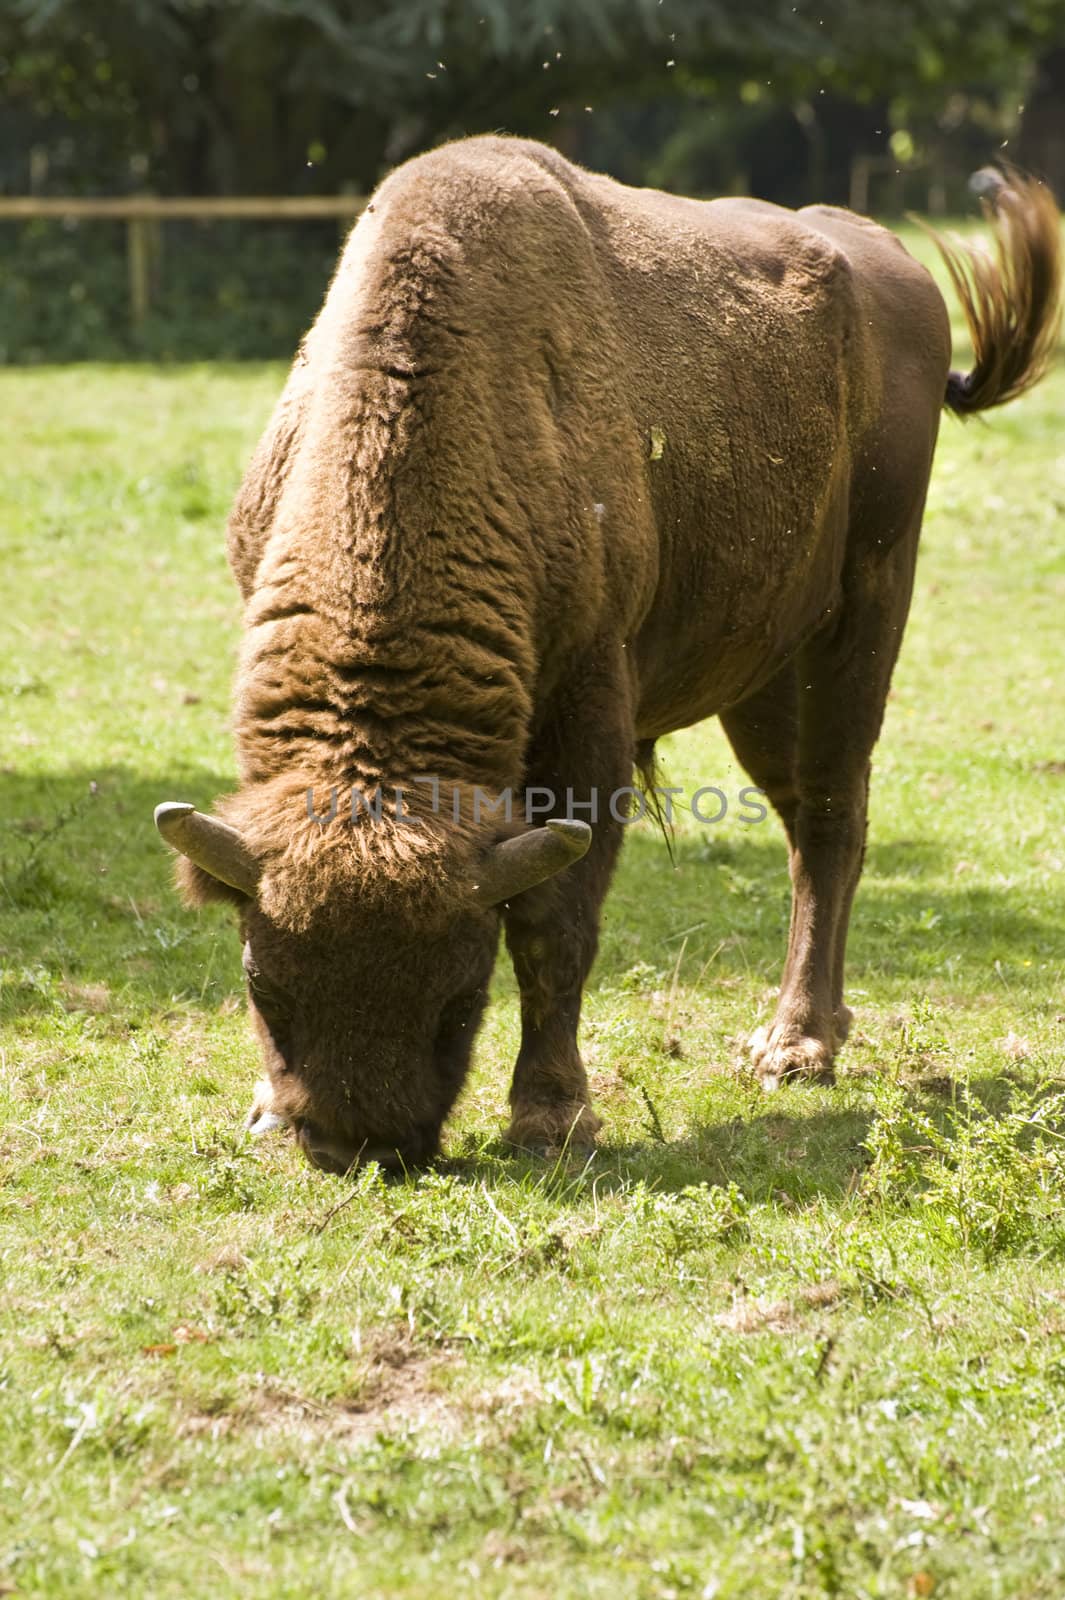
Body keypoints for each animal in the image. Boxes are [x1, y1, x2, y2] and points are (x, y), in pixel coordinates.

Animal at [153, 137, 1055, 1171]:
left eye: (461, 994)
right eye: (264, 985)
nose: (359, 1141)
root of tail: (890, 264)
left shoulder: (588, 708)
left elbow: (555, 923)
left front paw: (552, 1115)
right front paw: (266, 1106)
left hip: (864, 612)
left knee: (831, 818)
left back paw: (795, 1047)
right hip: (762, 678)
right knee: (807, 820)